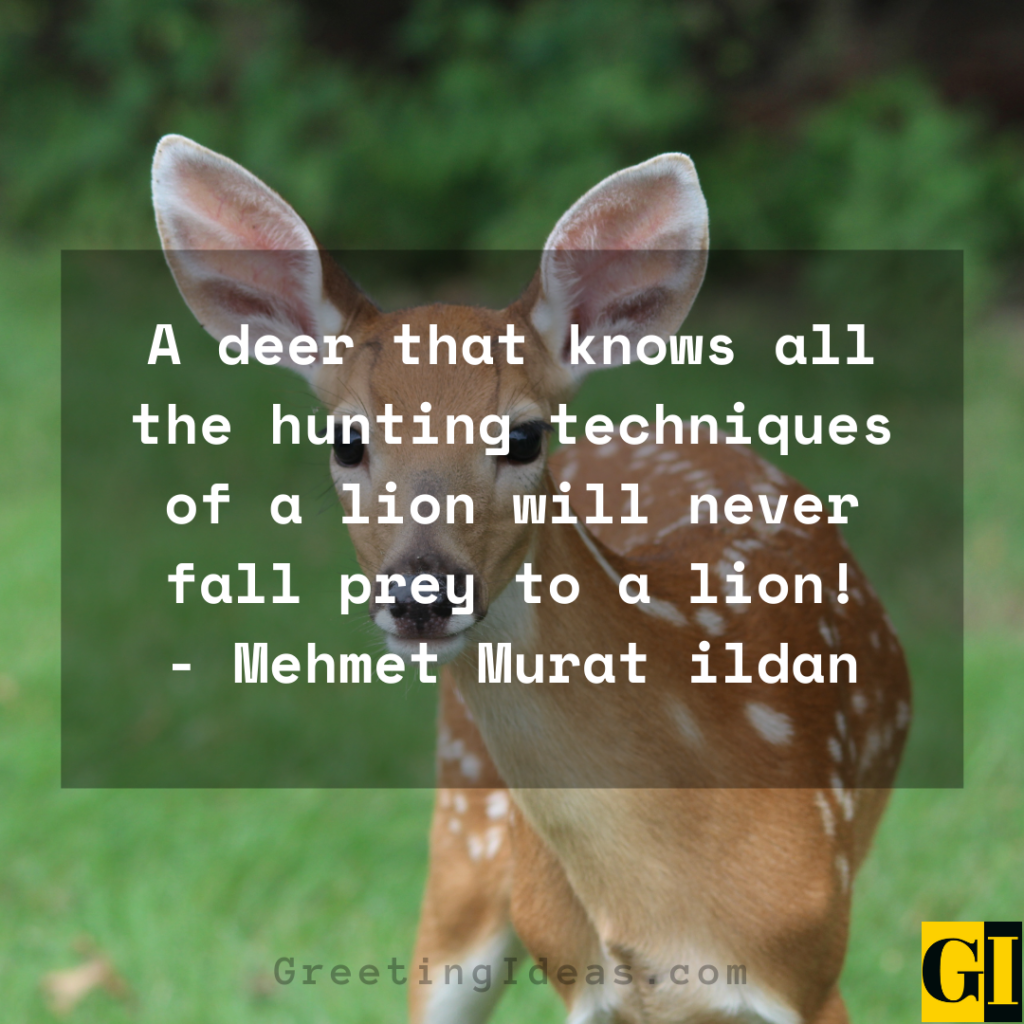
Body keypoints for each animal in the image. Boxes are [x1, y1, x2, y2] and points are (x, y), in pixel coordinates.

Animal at [152, 134, 911, 1024]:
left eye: (522, 436)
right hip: (464, 825)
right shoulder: (583, 980)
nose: (422, 593)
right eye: (347, 439)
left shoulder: (810, 963)